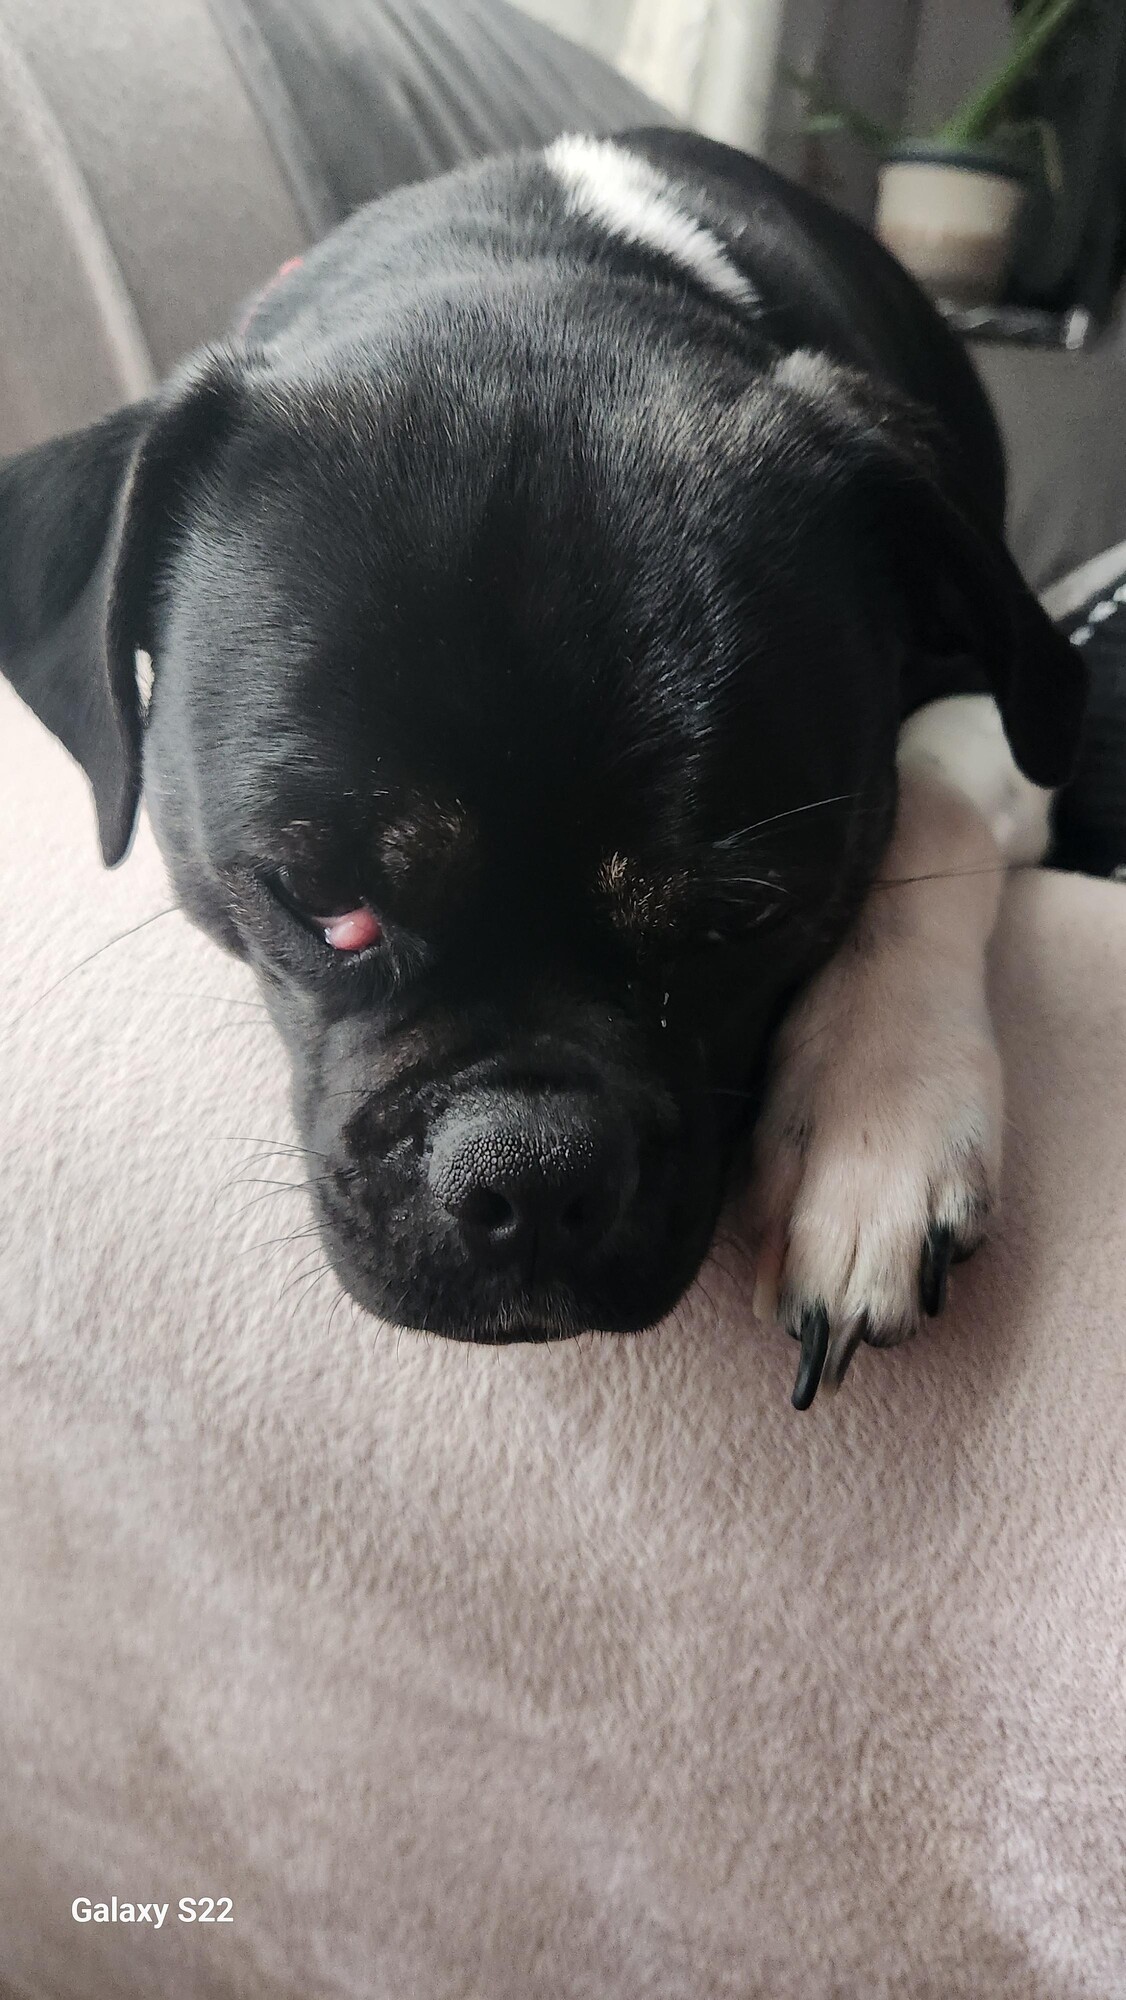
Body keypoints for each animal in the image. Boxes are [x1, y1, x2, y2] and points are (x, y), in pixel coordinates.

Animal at [0, 130, 1085, 1407]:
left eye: (744, 919)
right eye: (320, 897)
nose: (525, 1172)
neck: (539, 253)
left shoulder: (992, 710)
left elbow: (935, 813)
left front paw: (873, 1119)